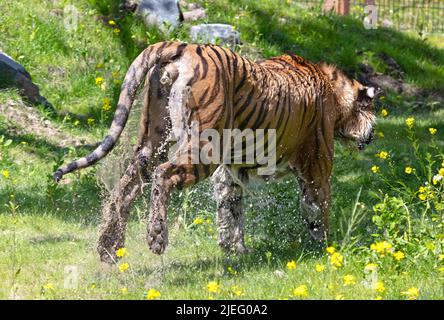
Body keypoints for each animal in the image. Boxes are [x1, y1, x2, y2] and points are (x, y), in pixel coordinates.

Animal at [53, 41, 376, 262]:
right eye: (372, 108)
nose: (372, 134)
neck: (334, 91)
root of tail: (181, 45)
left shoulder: (230, 172)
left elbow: (231, 210)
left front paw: (235, 250)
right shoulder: (316, 167)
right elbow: (318, 209)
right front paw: (327, 249)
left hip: (153, 138)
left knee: (127, 185)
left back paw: (109, 247)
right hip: (202, 149)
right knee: (162, 175)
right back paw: (156, 238)